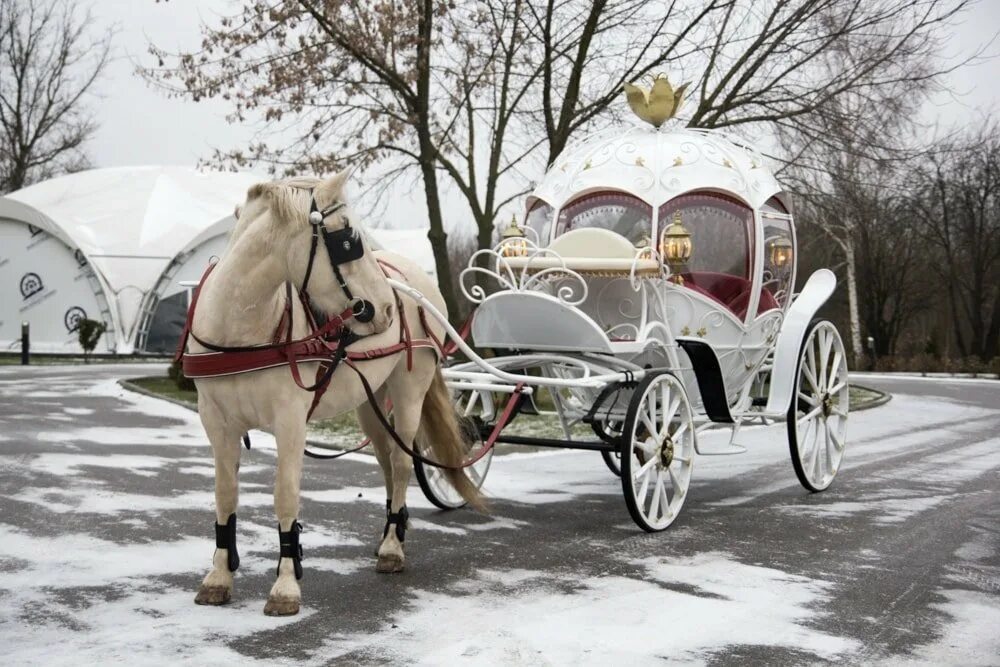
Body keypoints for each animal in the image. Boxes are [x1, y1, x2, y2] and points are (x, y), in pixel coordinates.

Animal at [186, 172, 486, 616]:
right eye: (347, 239)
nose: (386, 309)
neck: (240, 331)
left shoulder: (290, 421)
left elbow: (285, 496)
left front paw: (286, 586)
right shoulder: (216, 422)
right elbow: (225, 496)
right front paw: (219, 577)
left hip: (409, 389)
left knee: (401, 463)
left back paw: (392, 548)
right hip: (370, 402)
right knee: (385, 460)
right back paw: (392, 531)